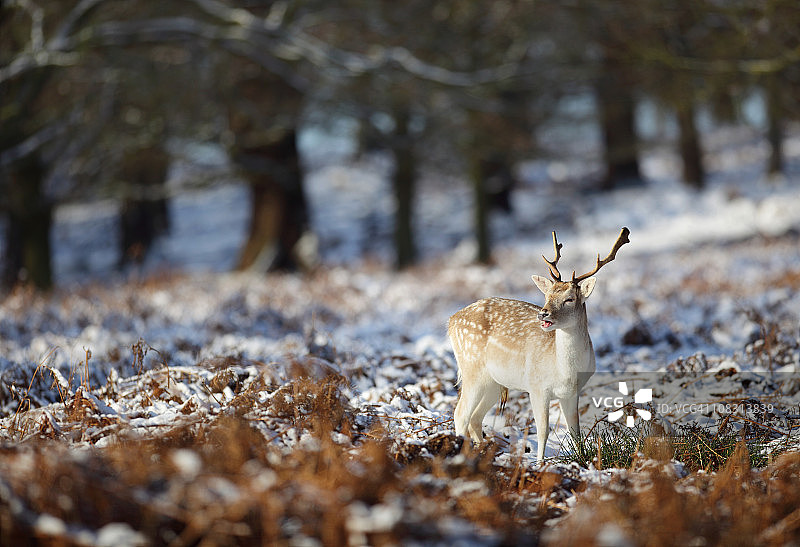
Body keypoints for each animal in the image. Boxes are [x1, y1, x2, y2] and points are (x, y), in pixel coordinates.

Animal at [448, 227, 630, 461]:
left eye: (570, 298)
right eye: (547, 295)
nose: (543, 313)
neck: (565, 371)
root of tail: (451, 320)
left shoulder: (572, 392)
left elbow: (575, 431)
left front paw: (581, 460)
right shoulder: (536, 387)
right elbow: (543, 431)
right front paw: (540, 462)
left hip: (493, 381)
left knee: (475, 418)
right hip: (471, 368)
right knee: (460, 414)